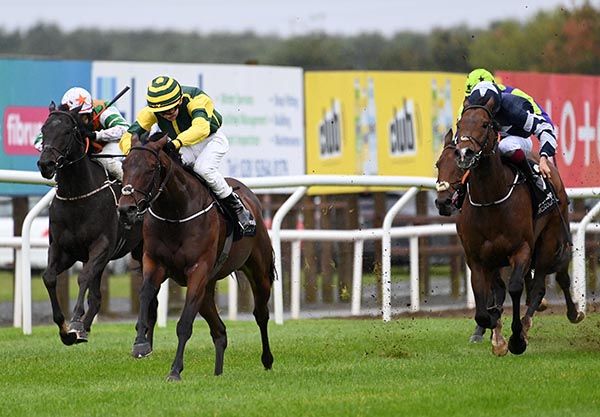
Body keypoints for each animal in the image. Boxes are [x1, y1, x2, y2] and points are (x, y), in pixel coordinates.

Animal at [37, 102, 143, 342]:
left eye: (68, 131)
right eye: (43, 130)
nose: (46, 164)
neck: (78, 197)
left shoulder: (101, 246)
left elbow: (83, 277)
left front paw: (75, 321)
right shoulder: (62, 249)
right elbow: (49, 277)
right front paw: (65, 328)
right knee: (97, 296)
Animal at [118, 133, 276, 380]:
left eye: (151, 168)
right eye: (124, 165)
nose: (126, 209)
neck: (175, 214)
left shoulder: (198, 270)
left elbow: (184, 324)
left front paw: (175, 370)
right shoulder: (154, 263)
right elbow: (145, 295)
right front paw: (140, 343)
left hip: (258, 271)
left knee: (261, 314)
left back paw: (267, 360)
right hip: (208, 288)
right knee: (219, 331)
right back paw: (218, 373)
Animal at [452, 100, 584, 354]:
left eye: (485, 124)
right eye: (459, 124)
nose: (464, 153)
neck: (490, 199)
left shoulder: (521, 249)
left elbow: (514, 288)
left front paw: (515, 339)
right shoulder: (477, 258)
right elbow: (484, 303)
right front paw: (495, 332)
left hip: (549, 240)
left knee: (540, 284)